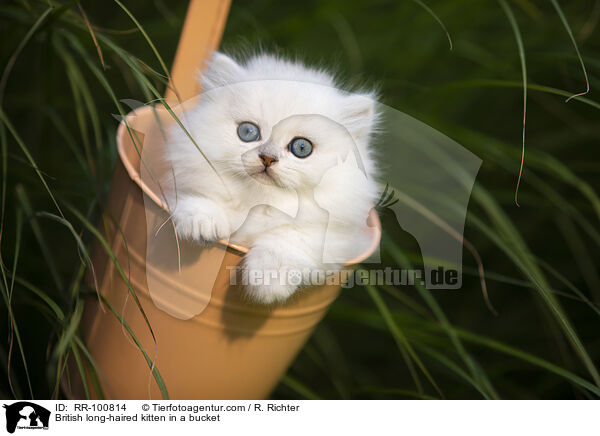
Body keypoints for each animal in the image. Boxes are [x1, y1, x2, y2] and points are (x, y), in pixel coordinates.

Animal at [166, 52, 378, 304]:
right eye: (248, 132)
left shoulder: (335, 239)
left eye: (301, 147)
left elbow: (289, 241)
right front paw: (202, 223)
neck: (259, 203)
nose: (267, 158)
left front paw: (268, 282)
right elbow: (198, 197)